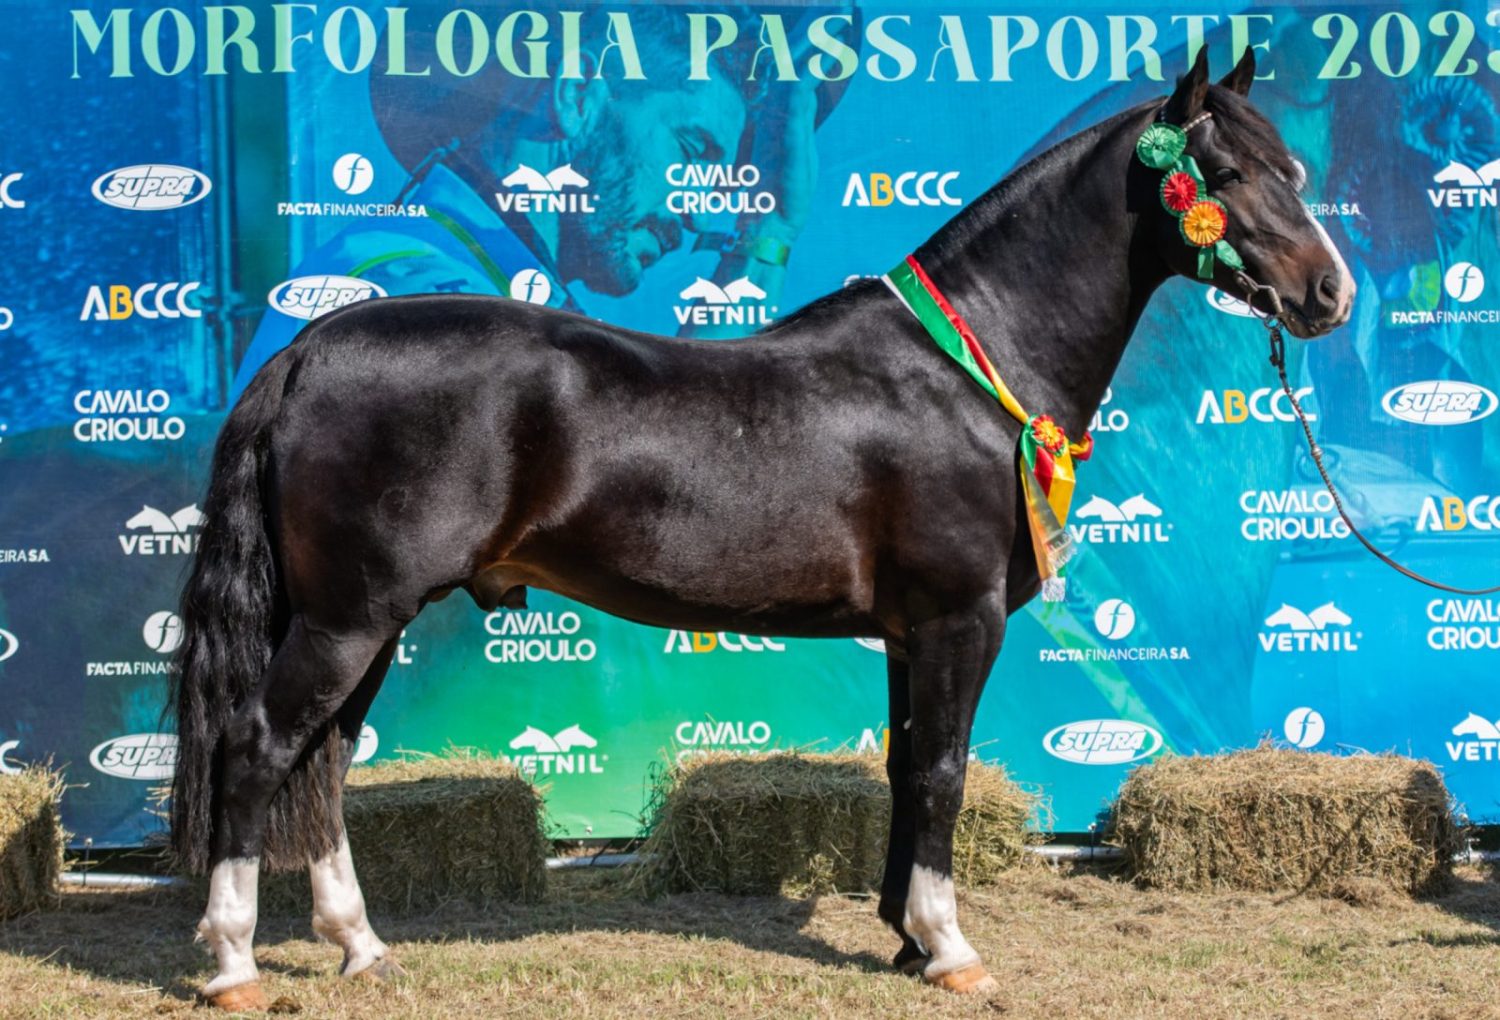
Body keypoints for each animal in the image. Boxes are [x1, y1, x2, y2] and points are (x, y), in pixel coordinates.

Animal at [175, 51, 1362, 1008]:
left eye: (1295, 170)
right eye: (1227, 175)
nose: (1328, 294)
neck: (968, 372)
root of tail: (310, 348)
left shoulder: (907, 632)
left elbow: (906, 766)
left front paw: (903, 939)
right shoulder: (959, 618)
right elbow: (944, 769)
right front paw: (949, 948)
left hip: (361, 619)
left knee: (325, 762)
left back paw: (361, 948)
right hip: (349, 617)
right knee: (261, 748)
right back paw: (233, 963)